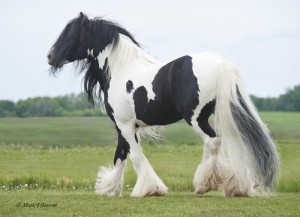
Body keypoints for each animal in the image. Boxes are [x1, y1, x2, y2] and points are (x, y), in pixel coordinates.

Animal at [47, 12, 278, 198]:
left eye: (70, 34)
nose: (50, 57)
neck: (121, 70)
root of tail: (222, 64)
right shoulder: (125, 126)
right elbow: (120, 155)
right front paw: (110, 188)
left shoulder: (125, 125)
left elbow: (135, 156)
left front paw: (149, 189)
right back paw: (235, 187)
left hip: (196, 118)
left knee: (212, 142)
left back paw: (204, 185)